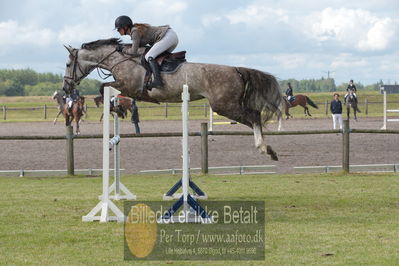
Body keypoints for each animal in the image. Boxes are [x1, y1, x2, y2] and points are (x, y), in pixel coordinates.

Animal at [62, 38, 284, 159]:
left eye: (67, 64)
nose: (65, 87)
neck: (121, 59)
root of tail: (236, 70)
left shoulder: (131, 87)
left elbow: (103, 87)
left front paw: (117, 108)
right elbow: (106, 89)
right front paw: (117, 108)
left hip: (224, 105)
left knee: (254, 117)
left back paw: (265, 149)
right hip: (228, 105)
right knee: (254, 117)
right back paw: (268, 149)